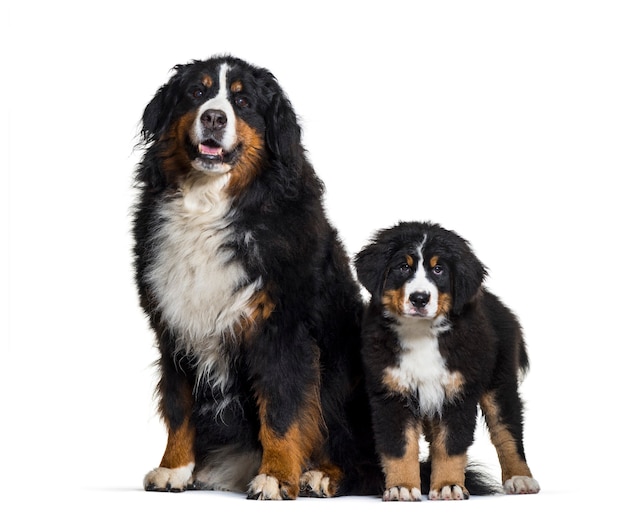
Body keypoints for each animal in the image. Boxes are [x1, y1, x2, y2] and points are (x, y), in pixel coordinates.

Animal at [131, 55, 376, 500]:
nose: (213, 117)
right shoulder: (173, 326)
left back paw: (321, 476)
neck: (210, 205)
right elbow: (178, 406)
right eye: (196, 92)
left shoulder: (281, 330)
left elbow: (282, 409)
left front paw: (277, 476)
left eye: (243, 101)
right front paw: (174, 468)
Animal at [354, 223, 540, 504]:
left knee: (507, 429)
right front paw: (401, 487)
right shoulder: (390, 392)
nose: (419, 298)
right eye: (403, 267)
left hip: (500, 381)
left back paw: (520, 478)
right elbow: (399, 446)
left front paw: (448, 485)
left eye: (438, 269)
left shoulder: (458, 393)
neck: (421, 333)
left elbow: (451, 446)